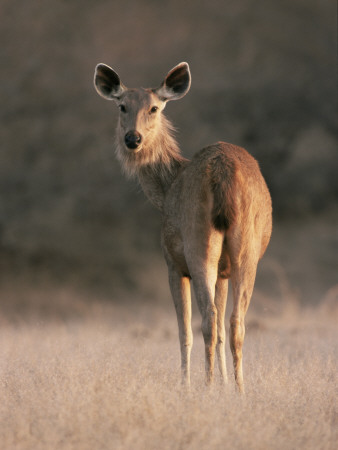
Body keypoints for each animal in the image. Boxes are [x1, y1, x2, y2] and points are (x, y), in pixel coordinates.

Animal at [93, 61, 274, 392]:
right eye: (122, 106)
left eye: (154, 108)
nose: (132, 139)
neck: (164, 191)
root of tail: (223, 171)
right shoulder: (224, 271)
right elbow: (221, 331)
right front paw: (226, 386)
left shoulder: (172, 263)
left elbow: (183, 332)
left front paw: (186, 385)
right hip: (246, 247)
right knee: (234, 322)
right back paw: (241, 390)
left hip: (197, 242)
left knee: (207, 320)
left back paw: (206, 386)